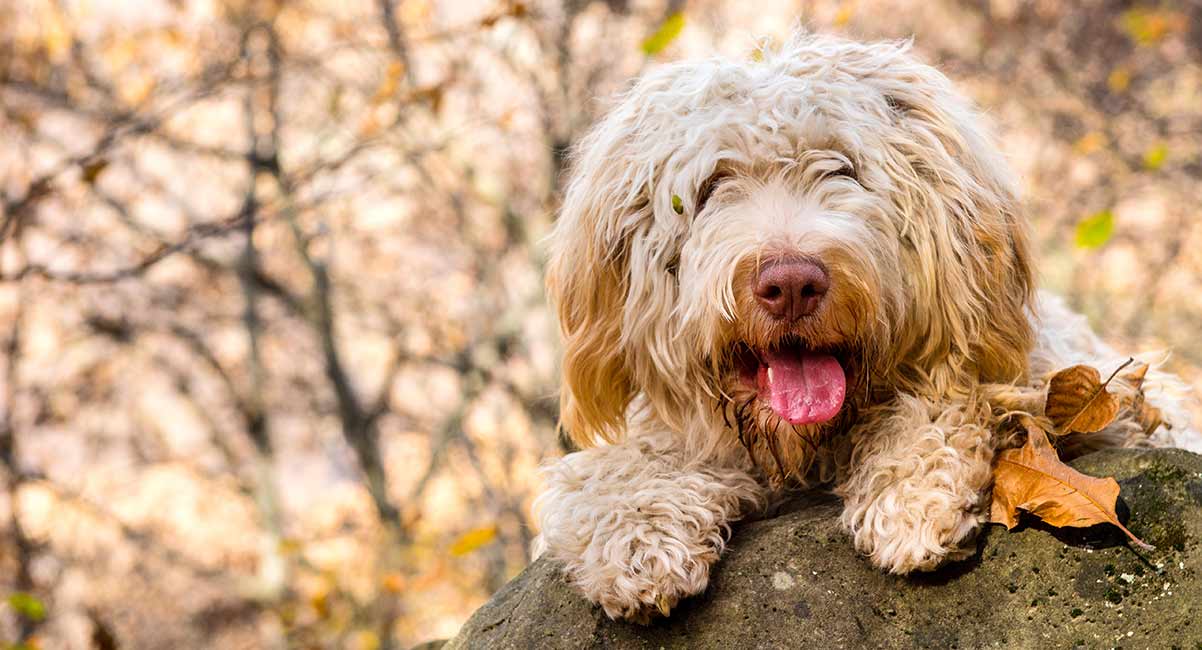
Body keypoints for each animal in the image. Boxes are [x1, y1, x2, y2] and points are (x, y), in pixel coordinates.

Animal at [536, 34, 1202, 624]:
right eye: (711, 187)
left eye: (842, 170)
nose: (791, 284)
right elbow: (628, 463)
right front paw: (636, 535)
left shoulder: (1113, 399)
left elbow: (977, 396)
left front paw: (915, 486)